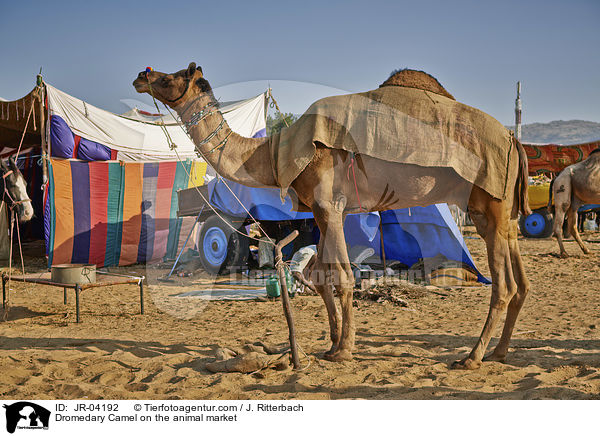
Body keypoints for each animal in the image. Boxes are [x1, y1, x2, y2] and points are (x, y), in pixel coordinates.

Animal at [135, 63, 528, 370]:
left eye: (170, 77)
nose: (142, 75)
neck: (274, 151)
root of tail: (513, 140)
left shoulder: (330, 206)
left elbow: (343, 277)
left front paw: (345, 350)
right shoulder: (319, 213)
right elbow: (320, 276)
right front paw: (332, 344)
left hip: (489, 203)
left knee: (504, 286)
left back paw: (473, 357)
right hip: (500, 214)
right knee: (521, 281)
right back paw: (500, 353)